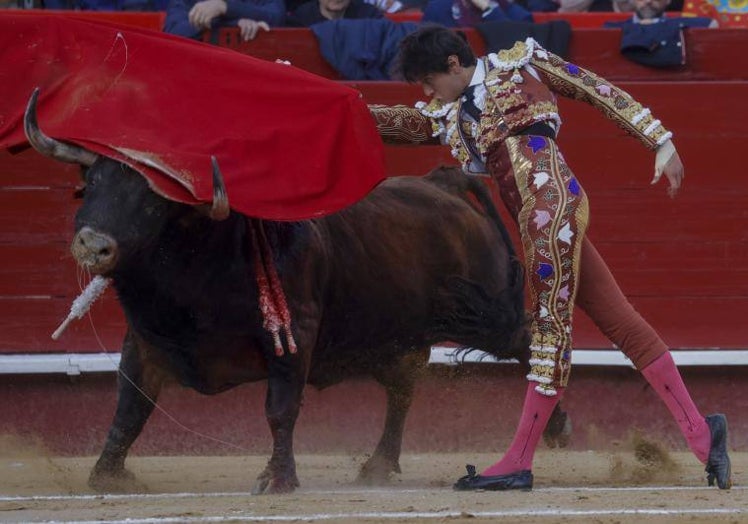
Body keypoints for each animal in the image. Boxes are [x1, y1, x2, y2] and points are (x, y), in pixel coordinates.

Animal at [26, 91, 568, 496]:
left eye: (153, 199)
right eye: (91, 182)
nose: (93, 243)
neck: (202, 258)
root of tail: (446, 183)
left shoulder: (293, 336)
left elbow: (280, 408)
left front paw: (277, 478)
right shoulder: (144, 340)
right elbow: (129, 409)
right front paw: (107, 476)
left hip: (484, 313)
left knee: (530, 343)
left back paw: (554, 429)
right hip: (395, 332)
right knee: (403, 386)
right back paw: (378, 465)